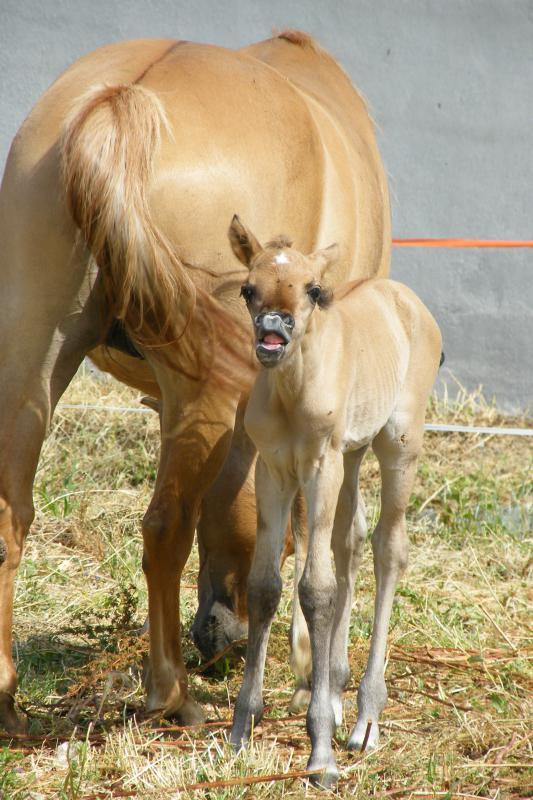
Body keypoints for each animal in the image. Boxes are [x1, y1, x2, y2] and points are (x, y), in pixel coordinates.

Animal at [0, 29, 390, 732]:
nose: (217, 635)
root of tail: (122, 101)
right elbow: (320, 528)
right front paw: (309, 675)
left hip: (30, 363)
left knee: (10, 519)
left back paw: (8, 700)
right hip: (199, 391)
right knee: (164, 527)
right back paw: (173, 694)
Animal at [228, 216, 440, 784]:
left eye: (313, 290)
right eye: (248, 289)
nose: (273, 331)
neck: (291, 390)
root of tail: (408, 299)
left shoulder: (319, 466)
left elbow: (316, 590)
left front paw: (320, 750)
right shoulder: (274, 469)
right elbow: (263, 586)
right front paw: (241, 728)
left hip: (398, 442)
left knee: (390, 547)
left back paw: (366, 717)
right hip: (353, 451)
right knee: (351, 541)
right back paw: (341, 692)